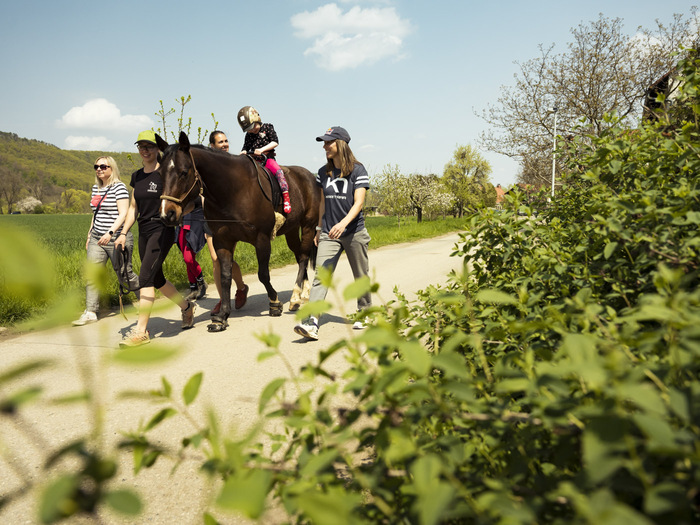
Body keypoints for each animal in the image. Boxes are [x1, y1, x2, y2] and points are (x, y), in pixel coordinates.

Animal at [156, 131, 320, 332]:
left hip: (308, 225)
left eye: (184, 172)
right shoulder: (222, 241)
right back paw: (303, 292)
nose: (167, 214)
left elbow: (263, 274)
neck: (232, 192)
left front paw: (274, 303)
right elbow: (226, 278)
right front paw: (221, 316)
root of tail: (310, 176)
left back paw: (296, 296)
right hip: (291, 229)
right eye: (160, 173)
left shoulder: (261, 239)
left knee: (303, 257)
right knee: (299, 255)